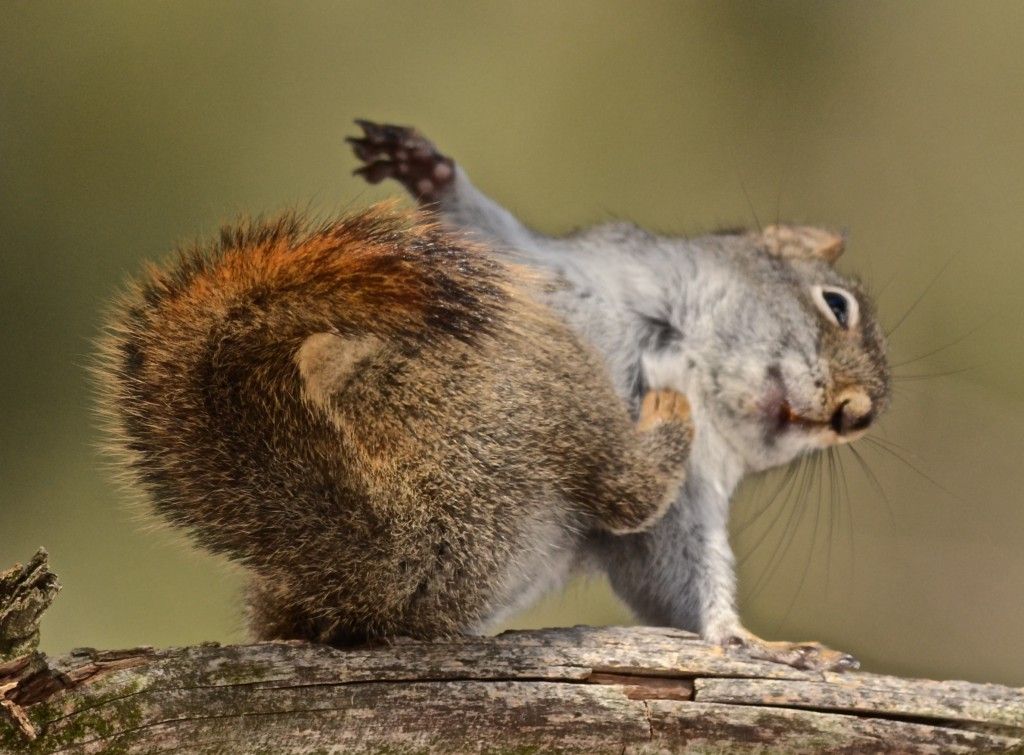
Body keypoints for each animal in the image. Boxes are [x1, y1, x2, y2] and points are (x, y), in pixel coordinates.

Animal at [344, 116, 888, 663]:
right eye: (836, 305)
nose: (855, 417)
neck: (688, 360)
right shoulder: (558, 269)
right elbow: (488, 232)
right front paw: (428, 169)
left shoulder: (684, 487)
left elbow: (684, 574)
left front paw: (750, 641)